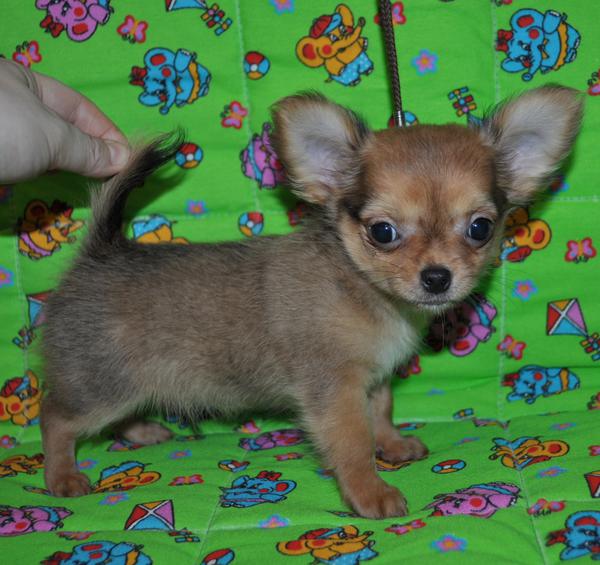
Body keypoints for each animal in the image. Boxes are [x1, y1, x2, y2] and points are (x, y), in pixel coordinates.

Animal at [41, 85, 582, 518]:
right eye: (383, 233)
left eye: (480, 228)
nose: (436, 277)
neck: (365, 290)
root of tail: (99, 254)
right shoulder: (334, 389)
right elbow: (353, 442)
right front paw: (370, 493)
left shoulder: (372, 379)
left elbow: (381, 412)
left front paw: (393, 444)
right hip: (99, 383)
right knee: (57, 418)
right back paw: (62, 476)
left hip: (125, 383)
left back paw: (143, 433)